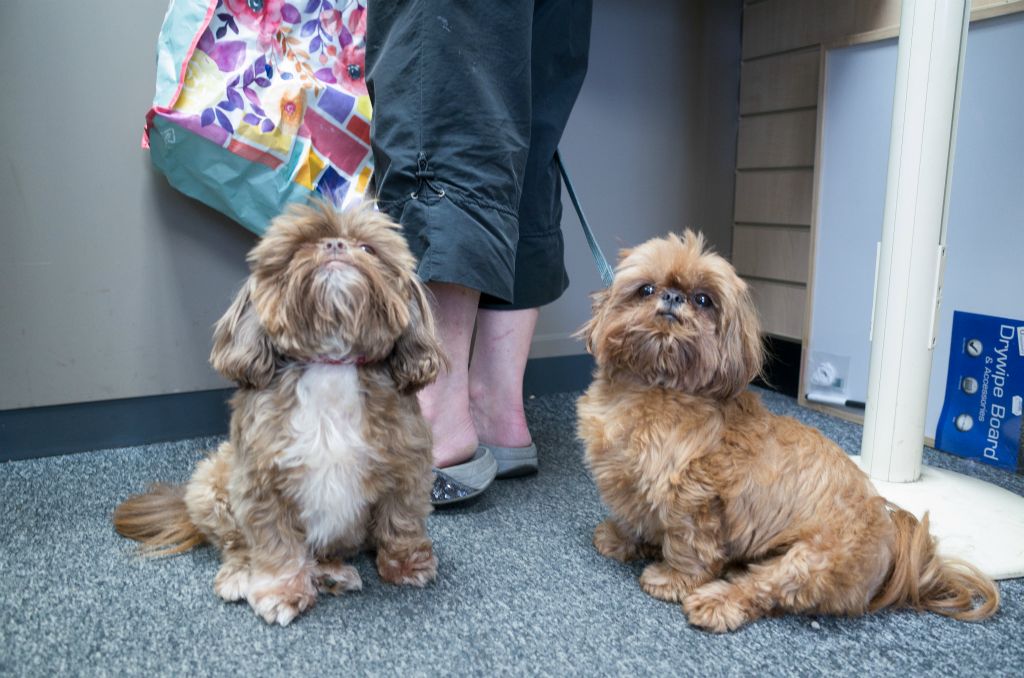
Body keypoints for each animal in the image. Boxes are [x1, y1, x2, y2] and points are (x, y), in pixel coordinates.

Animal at [115, 200, 444, 626]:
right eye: (301, 246)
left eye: (368, 248)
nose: (335, 245)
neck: (331, 362)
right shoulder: (261, 482)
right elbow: (276, 545)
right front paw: (281, 592)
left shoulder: (407, 465)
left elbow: (401, 519)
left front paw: (406, 564)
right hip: (212, 480)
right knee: (236, 545)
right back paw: (241, 575)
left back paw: (332, 572)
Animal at [577, 231, 999, 634]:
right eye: (646, 289)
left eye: (703, 299)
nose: (672, 297)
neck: (654, 386)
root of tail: (894, 549)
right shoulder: (630, 478)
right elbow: (636, 516)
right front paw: (623, 539)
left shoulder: (694, 498)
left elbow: (689, 546)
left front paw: (671, 579)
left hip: (810, 559)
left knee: (764, 590)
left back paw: (718, 601)